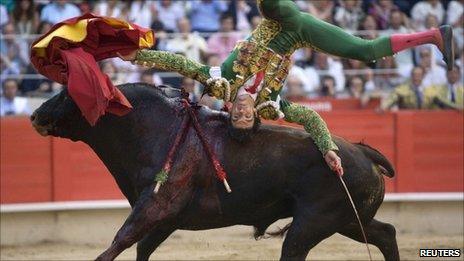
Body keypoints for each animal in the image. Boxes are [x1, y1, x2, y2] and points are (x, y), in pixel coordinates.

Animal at [29, 82, 398, 258]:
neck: (155, 129)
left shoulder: (156, 207)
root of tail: (360, 150)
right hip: (347, 219)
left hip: (313, 224)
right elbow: (141, 248)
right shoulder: (166, 219)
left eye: (68, 93)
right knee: (385, 233)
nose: (34, 115)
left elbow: (120, 242)